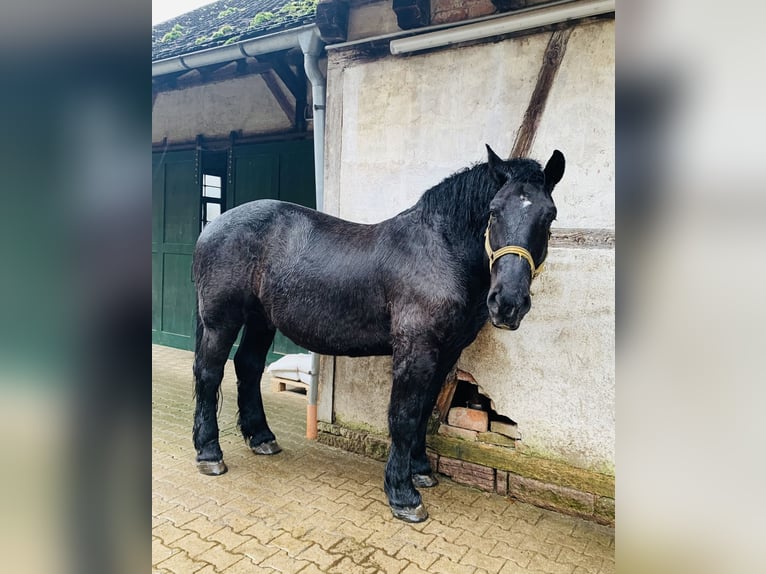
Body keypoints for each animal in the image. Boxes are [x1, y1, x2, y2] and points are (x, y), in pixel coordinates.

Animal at [191, 145, 564, 522]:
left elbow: (424, 410)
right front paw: (403, 495)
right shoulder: (416, 349)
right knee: (209, 373)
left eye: (549, 215)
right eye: (493, 210)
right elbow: (404, 415)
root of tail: (214, 227)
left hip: (261, 320)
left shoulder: (446, 352)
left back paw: (261, 437)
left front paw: (421, 470)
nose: (508, 303)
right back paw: (209, 453)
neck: (439, 251)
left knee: (248, 367)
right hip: (221, 320)